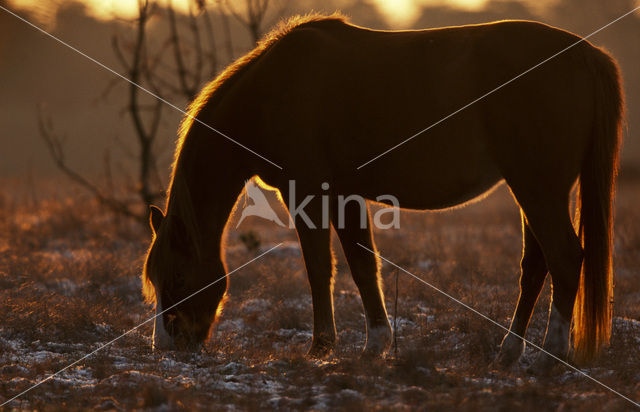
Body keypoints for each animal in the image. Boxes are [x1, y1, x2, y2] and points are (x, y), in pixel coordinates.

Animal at [142, 13, 624, 370]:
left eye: (179, 277)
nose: (167, 346)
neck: (273, 91)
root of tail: (585, 53)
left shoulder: (307, 194)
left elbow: (319, 268)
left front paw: (321, 347)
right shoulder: (345, 197)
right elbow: (362, 265)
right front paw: (376, 343)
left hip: (538, 188)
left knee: (566, 258)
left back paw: (551, 356)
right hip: (532, 189)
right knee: (536, 265)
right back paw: (510, 352)